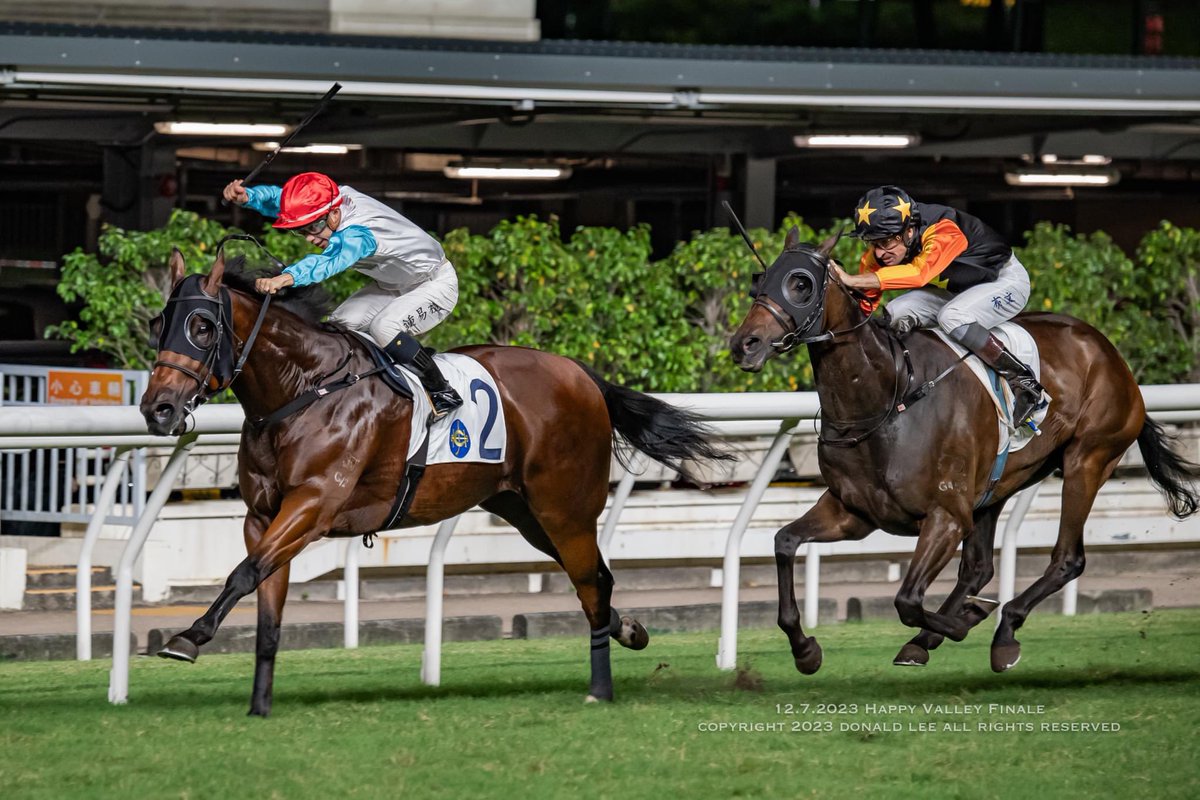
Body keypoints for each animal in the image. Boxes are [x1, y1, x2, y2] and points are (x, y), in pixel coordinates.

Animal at [139, 244, 730, 716]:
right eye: (159, 322)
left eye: (202, 326)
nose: (158, 409)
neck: (304, 389)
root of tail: (582, 374)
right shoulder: (262, 515)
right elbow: (266, 606)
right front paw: (259, 705)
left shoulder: (313, 503)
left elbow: (244, 573)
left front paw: (187, 637)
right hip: (526, 512)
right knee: (596, 581)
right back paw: (627, 629)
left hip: (566, 508)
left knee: (589, 582)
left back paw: (600, 688)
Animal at [728, 227, 1199, 674]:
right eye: (758, 281)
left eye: (801, 283)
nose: (744, 344)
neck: (884, 399)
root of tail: (1112, 355)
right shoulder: (854, 512)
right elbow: (785, 541)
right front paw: (805, 649)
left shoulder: (945, 516)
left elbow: (907, 600)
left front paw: (967, 620)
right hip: (998, 482)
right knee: (979, 567)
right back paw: (932, 639)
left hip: (1088, 459)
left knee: (1067, 559)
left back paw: (1003, 632)